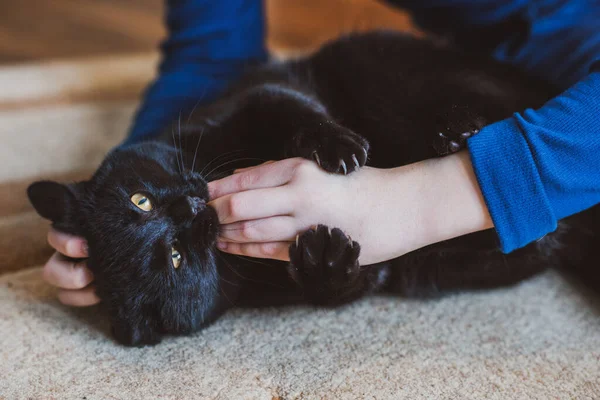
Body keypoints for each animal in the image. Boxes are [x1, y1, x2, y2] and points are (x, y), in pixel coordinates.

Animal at [27, 31, 596, 346]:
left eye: (140, 200)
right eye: (174, 258)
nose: (189, 208)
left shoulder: (256, 97)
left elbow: (293, 110)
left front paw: (337, 145)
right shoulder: (365, 275)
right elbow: (342, 284)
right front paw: (325, 259)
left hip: (392, 76)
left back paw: (456, 132)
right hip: (430, 272)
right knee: (531, 238)